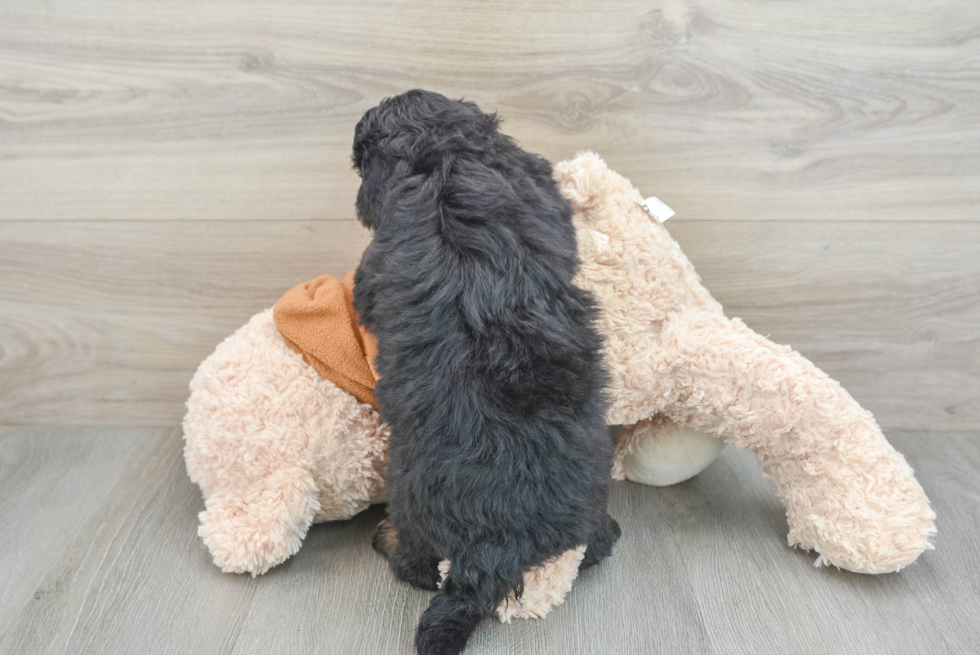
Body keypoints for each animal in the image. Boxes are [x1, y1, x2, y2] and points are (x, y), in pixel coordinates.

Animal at [348, 91, 616, 655]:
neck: (444, 152)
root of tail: (496, 550)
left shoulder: (376, 262)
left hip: (408, 496)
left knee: (416, 564)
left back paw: (386, 539)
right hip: (587, 495)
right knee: (592, 546)